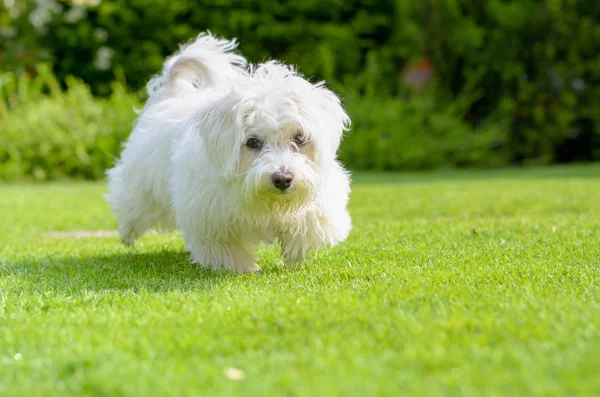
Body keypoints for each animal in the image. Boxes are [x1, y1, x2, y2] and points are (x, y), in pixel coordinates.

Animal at [106, 32, 352, 272]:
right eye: (252, 142)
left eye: (299, 138)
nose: (282, 179)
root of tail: (170, 96)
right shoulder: (209, 216)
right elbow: (225, 247)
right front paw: (241, 268)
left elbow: (312, 220)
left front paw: (295, 251)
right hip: (141, 185)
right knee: (131, 205)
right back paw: (127, 234)